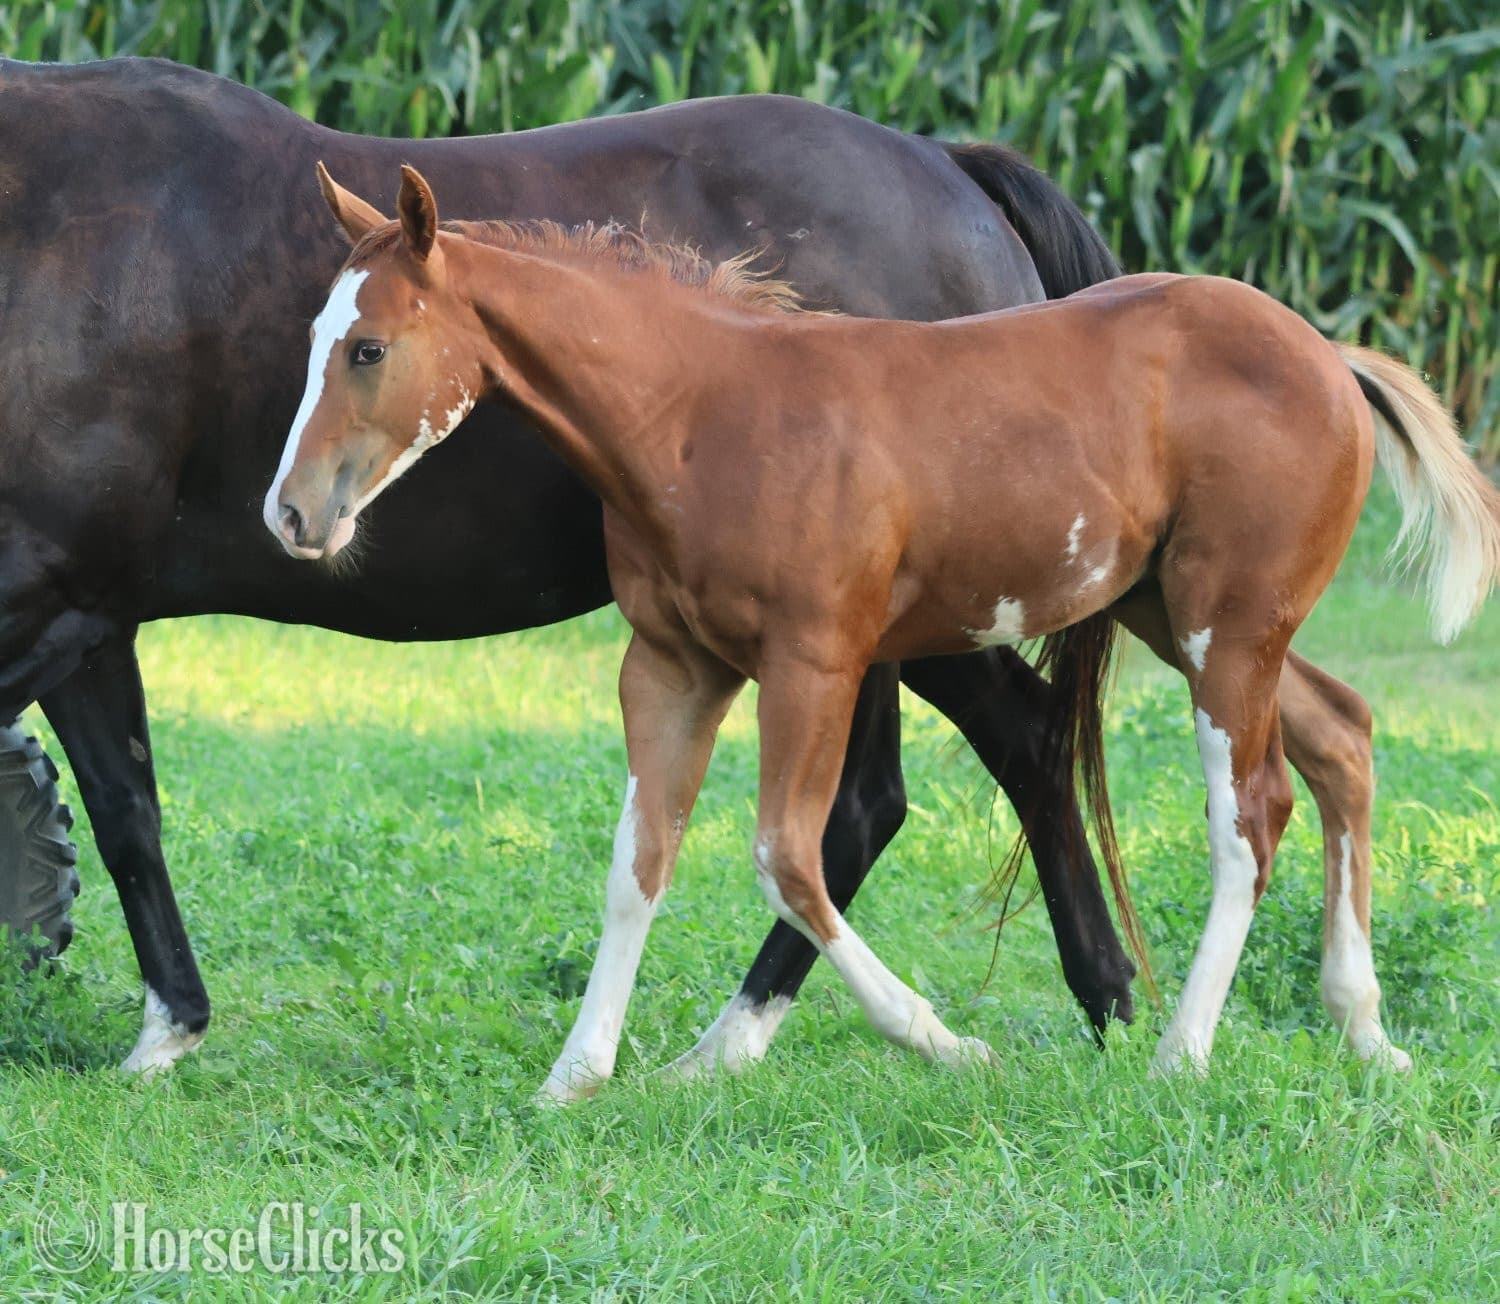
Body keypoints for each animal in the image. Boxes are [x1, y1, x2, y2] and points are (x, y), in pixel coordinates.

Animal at [1, 55, 1151, 1075]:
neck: (48, 225)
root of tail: (951, 167)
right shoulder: (89, 617)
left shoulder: (52, 603)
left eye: (366, 350)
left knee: (933, 779)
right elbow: (128, 811)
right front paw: (169, 1030)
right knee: (959, 766)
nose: (292, 511)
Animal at [270, 165, 1500, 1096]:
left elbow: (788, 857)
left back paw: (1182, 1054)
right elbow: (638, 861)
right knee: (1341, 734)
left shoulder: (813, 660)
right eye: (315, 340)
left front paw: (945, 1040)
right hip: (1183, 613)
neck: (698, 413)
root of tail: (1331, 357)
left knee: (1251, 813)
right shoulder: (671, 666)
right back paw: (1365, 1030)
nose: (291, 514)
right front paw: (575, 1076)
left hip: (1225, 626)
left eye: (368, 348)